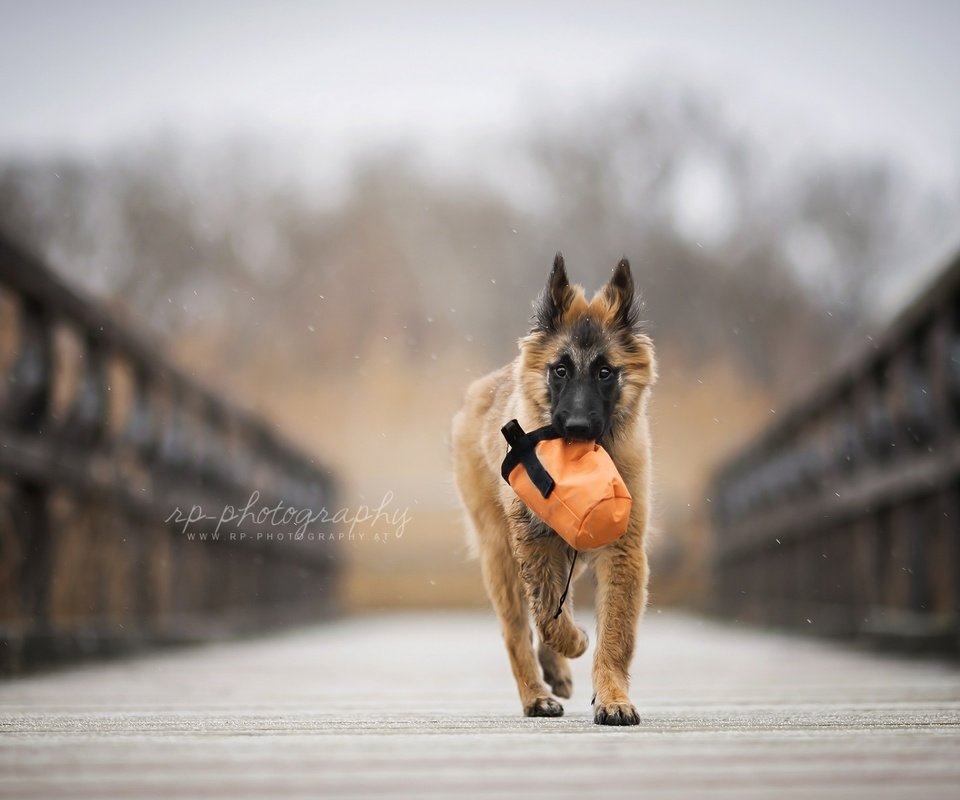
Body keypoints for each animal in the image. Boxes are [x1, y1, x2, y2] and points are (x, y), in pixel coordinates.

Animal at [450, 255, 652, 724]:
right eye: (560, 370)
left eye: (604, 372)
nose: (576, 428)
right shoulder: (536, 542)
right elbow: (546, 616)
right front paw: (576, 642)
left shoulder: (621, 551)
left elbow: (613, 635)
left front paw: (613, 698)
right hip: (500, 554)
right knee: (516, 630)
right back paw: (535, 695)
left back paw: (554, 671)